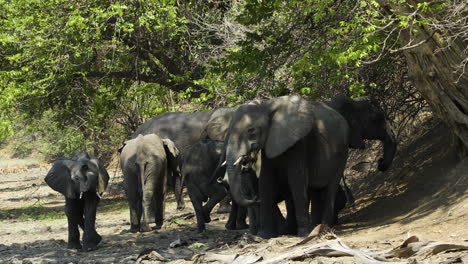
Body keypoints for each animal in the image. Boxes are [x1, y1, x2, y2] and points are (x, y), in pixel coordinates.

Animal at [224, 96, 352, 238]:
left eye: (251, 131)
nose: (255, 199)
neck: (266, 106)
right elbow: (266, 180)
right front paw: (264, 235)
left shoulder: (299, 142)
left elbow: (296, 179)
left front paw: (303, 234)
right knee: (314, 189)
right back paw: (315, 227)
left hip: (343, 152)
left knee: (331, 187)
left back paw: (324, 227)